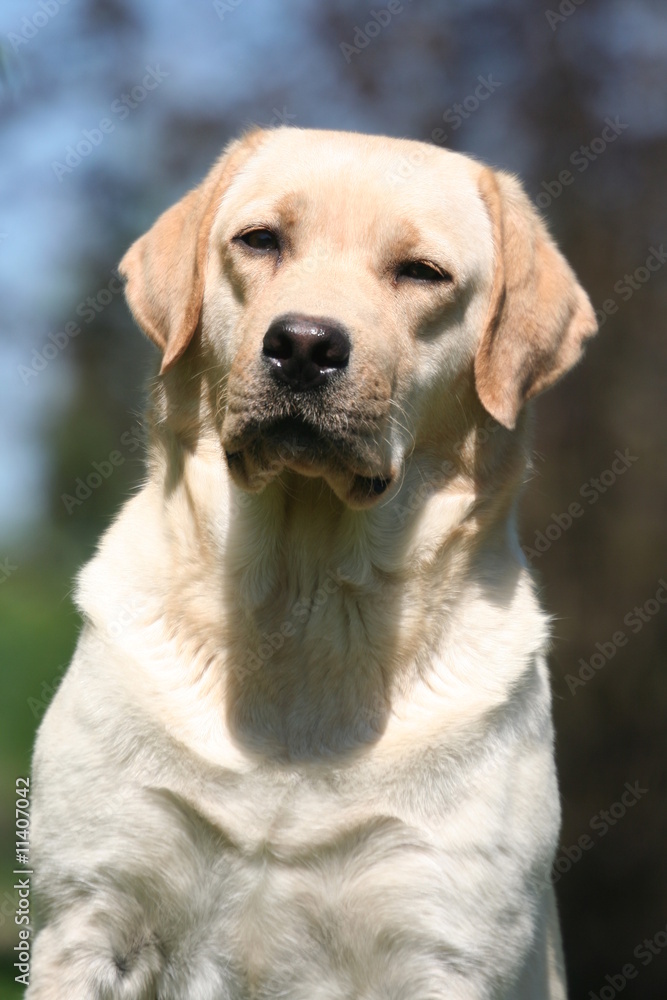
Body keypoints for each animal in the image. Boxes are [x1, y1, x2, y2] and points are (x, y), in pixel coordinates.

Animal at [28, 129, 596, 996]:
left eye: (421, 272)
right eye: (260, 240)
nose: (302, 344)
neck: (302, 604)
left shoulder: (442, 946)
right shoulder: (93, 913)